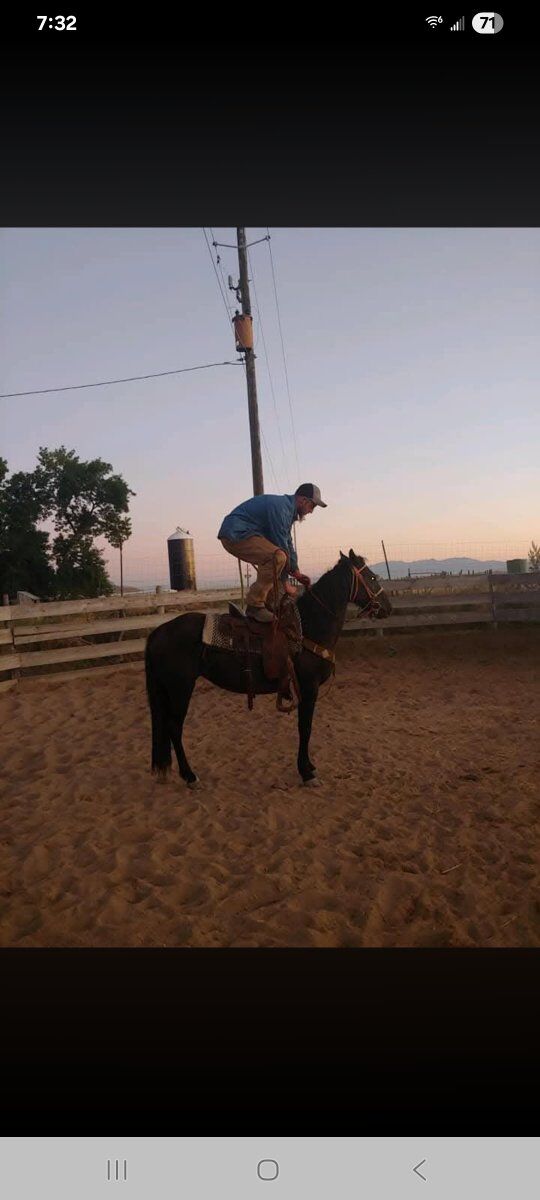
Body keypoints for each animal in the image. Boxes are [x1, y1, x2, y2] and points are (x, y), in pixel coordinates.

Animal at [145, 549, 392, 787]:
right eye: (372, 577)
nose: (387, 608)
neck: (306, 628)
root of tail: (159, 631)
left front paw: (308, 767)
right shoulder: (308, 688)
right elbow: (305, 728)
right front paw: (306, 772)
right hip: (179, 689)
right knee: (174, 727)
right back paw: (190, 776)